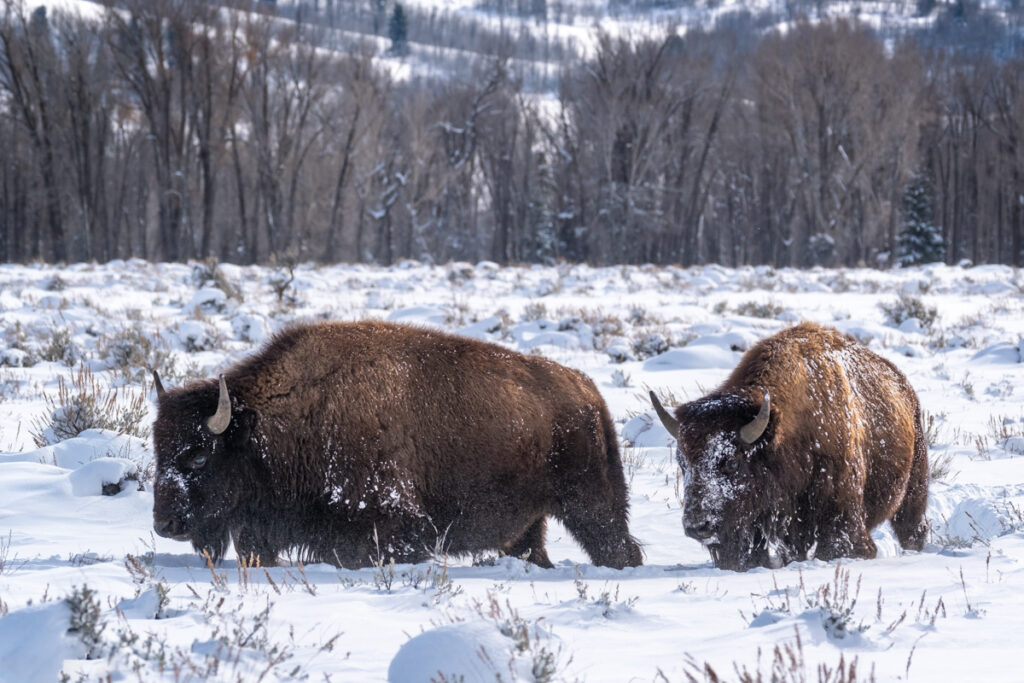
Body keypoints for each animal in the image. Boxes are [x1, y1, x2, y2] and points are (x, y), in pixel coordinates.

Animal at [151, 321, 638, 573]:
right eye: (158, 452)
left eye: (198, 456)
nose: (164, 523)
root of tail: (587, 392)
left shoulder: (395, 528)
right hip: (528, 523)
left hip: (591, 505)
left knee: (617, 547)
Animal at [651, 323, 933, 569]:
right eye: (682, 463)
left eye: (731, 462)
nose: (697, 526)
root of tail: (905, 389)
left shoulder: (840, 516)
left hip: (913, 490)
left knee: (912, 527)